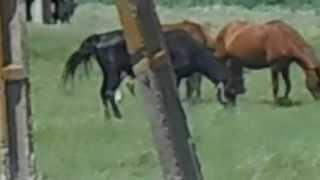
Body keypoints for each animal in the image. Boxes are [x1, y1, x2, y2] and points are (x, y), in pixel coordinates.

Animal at [62, 29, 240, 119]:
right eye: (231, 88)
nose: (233, 108)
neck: (193, 51)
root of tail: (99, 38)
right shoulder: (175, 75)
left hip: (111, 73)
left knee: (103, 92)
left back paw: (108, 117)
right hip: (114, 72)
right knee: (108, 92)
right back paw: (118, 116)